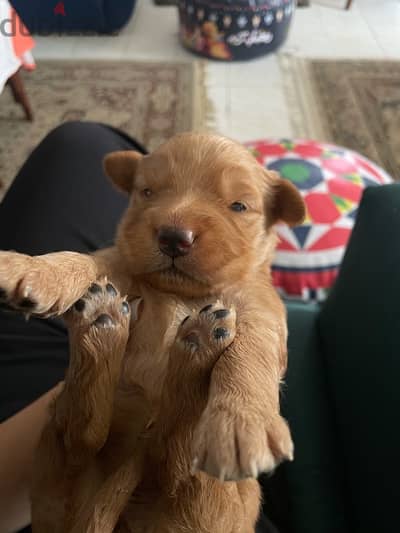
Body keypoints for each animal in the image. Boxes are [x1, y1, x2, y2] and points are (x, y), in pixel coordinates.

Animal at [0, 133, 304, 532]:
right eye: (147, 192)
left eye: (238, 205)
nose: (174, 237)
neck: (180, 293)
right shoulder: (119, 265)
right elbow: (87, 260)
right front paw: (32, 269)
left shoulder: (261, 310)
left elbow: (249, 352)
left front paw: (241, 421)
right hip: (56, 471)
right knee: (83, 437)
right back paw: (104, 326)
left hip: (213, 502)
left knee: (173, 456)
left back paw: (196, 348)